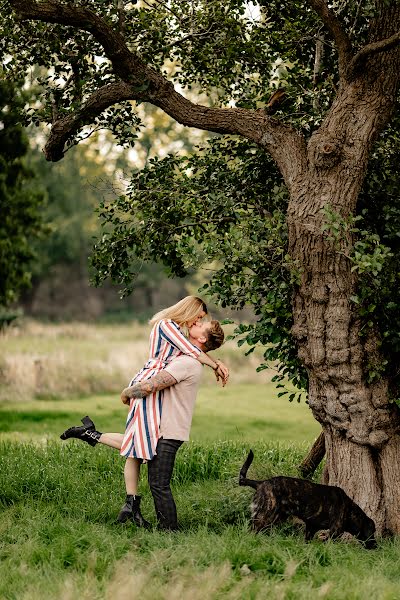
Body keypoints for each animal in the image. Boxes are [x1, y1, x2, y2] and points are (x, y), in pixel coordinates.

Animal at [239, 450, 376, 548]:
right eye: (373, 532)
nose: (376, 546)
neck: (350, 509)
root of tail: (260, 483)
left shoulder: (311, 528)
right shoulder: (335, 531)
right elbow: (326, 542)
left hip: (275, 519)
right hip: (265, 517)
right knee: (252, 531)